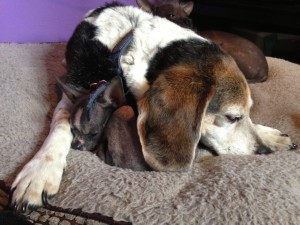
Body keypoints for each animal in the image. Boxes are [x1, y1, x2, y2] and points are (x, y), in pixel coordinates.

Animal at [10, 2, 296, 212]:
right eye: (232, 116)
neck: (127, 47)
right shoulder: (73, 92)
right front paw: (39, 173)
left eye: (246, 113)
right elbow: (61, 124)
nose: (261, 151)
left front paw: (268, 134)